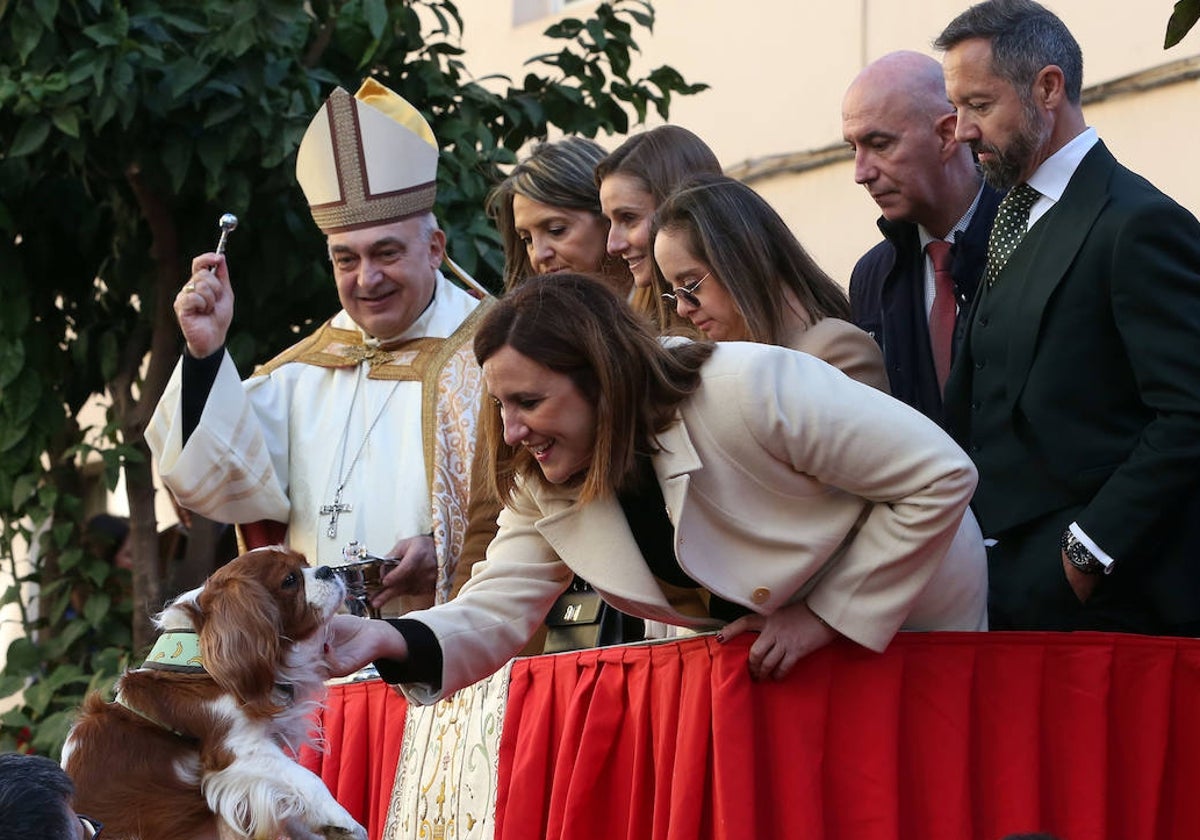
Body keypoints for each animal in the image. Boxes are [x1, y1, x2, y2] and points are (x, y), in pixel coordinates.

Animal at [64, 544, 364, 840]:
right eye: (290, 580)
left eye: (305, 562)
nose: (327, 570)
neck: (202, 664)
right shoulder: (240, 751)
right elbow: (306, 778)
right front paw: (342, 818)